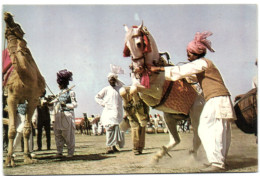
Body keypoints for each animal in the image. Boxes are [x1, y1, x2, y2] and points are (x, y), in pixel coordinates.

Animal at [3, 12, 45, 166]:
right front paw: (9, 160)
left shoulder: (33, 98)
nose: (7, 15)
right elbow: (11, 130)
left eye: (18, 25)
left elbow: (27, 129)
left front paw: (28, 157)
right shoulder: (12, 98)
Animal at [120, 22, 205, 163]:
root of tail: (204, 100)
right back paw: (158, 156)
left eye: (139, 43)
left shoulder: (156, 92)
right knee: (176, 140)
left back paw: (192, 157)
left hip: (195, 118)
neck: (153, 70)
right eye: (127, 46)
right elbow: (124, 90)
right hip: (169, 117)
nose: (136, 68)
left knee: (197, 138)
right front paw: (130, 109)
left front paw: (141, 114)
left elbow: (135, 90)